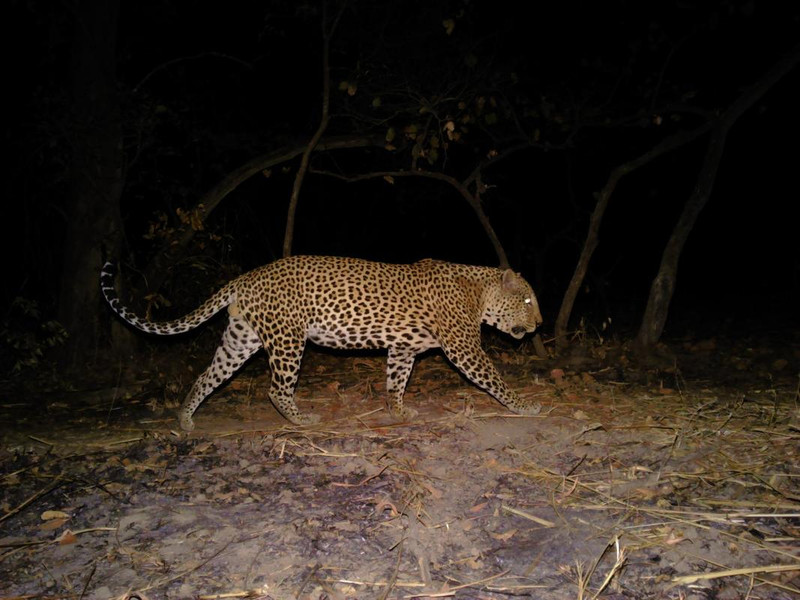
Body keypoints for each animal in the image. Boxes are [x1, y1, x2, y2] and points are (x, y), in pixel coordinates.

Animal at [101, 255, 543, 431]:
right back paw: (301, 420)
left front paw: (398, 411)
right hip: (288, 340)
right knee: (276, 389)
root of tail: (246, 277)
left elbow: (396, 381)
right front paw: (524, 406)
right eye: (526, 300)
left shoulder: (402, 349)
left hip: (240, 340)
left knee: (208, 375)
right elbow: (495, 379)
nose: (539, 323)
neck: (480, 292)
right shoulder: (465, 348)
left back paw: (185, 419)